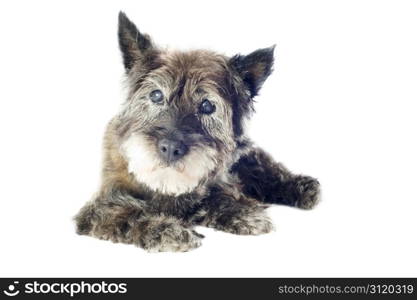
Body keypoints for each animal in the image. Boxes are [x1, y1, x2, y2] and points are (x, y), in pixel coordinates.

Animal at [75, 11, 320, 251]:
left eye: (207, 106)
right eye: (156, 95)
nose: (170, 148)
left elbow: (217, 196)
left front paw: (242, 213)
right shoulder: (98, 209)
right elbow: (128, 215)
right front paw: (168, 230)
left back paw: (303, 187)